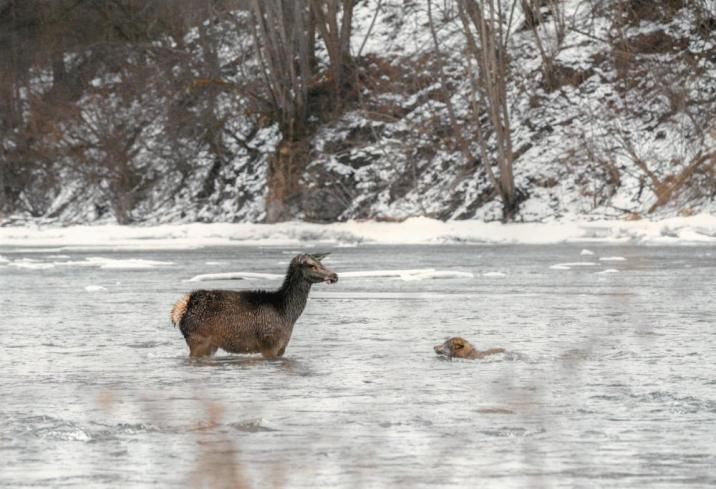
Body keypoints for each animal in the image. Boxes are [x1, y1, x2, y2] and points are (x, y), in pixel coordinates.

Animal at [174, 254, 342, 356]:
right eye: (311, 265)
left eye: (321, 262)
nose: (334, 275)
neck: (287, 313)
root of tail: (182, 307)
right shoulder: (269, 343)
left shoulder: (282, 347)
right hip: (198, 339)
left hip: (210, 344)